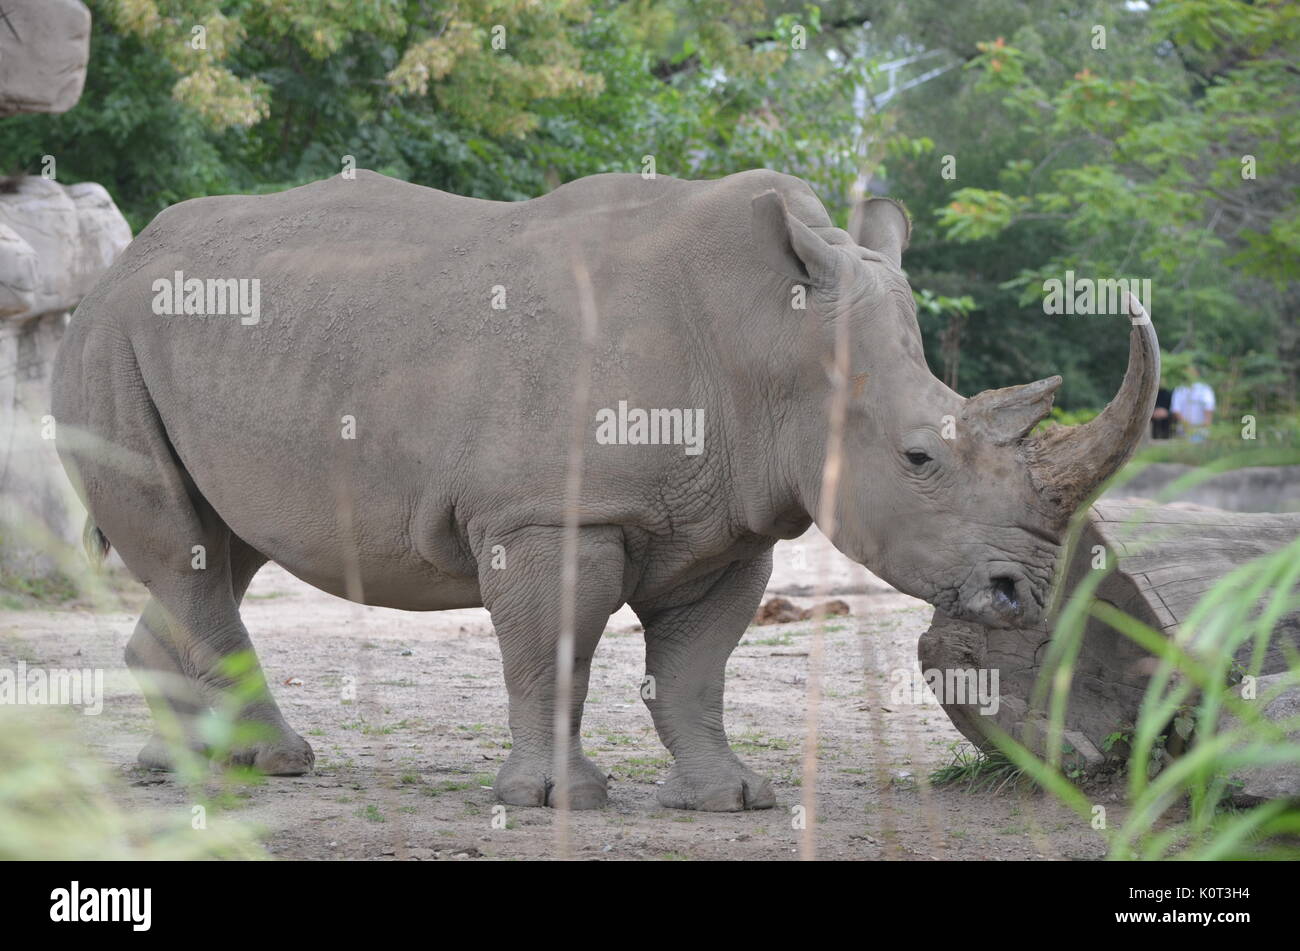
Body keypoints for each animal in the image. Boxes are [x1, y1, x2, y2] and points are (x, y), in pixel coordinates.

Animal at [52, 169, 1158, 811]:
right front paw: (557, 800)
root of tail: (122, 259)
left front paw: (731, 798)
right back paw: (274, 766)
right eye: (920, 459)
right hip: (105, 339)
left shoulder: (734, 519)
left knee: (218, 551)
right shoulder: (550, 510)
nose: (1021, 595)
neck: (774, 342)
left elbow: (698, 666)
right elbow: (554, 650)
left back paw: (182, 769)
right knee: (189, 553)